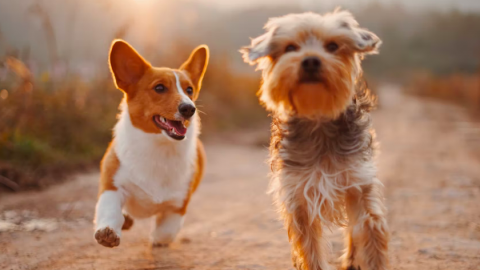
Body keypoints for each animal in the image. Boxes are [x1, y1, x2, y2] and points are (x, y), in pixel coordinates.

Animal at [94, 40, 208, 249]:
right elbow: (110, 210)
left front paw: (157, 239)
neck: (159, 147)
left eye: (189, 90)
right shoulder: (112, 185)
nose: (189, 108)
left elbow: (166, 232)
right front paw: (108, 232)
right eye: (160, 88)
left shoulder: (178, 204)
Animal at [242, 8, 388, 270]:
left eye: (332, 46)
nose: (310, 60)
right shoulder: (298, 195)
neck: (318, 118)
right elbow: (310, 247)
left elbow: (370, 227)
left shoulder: (358, 182)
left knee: (353, 230)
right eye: (290, 47)